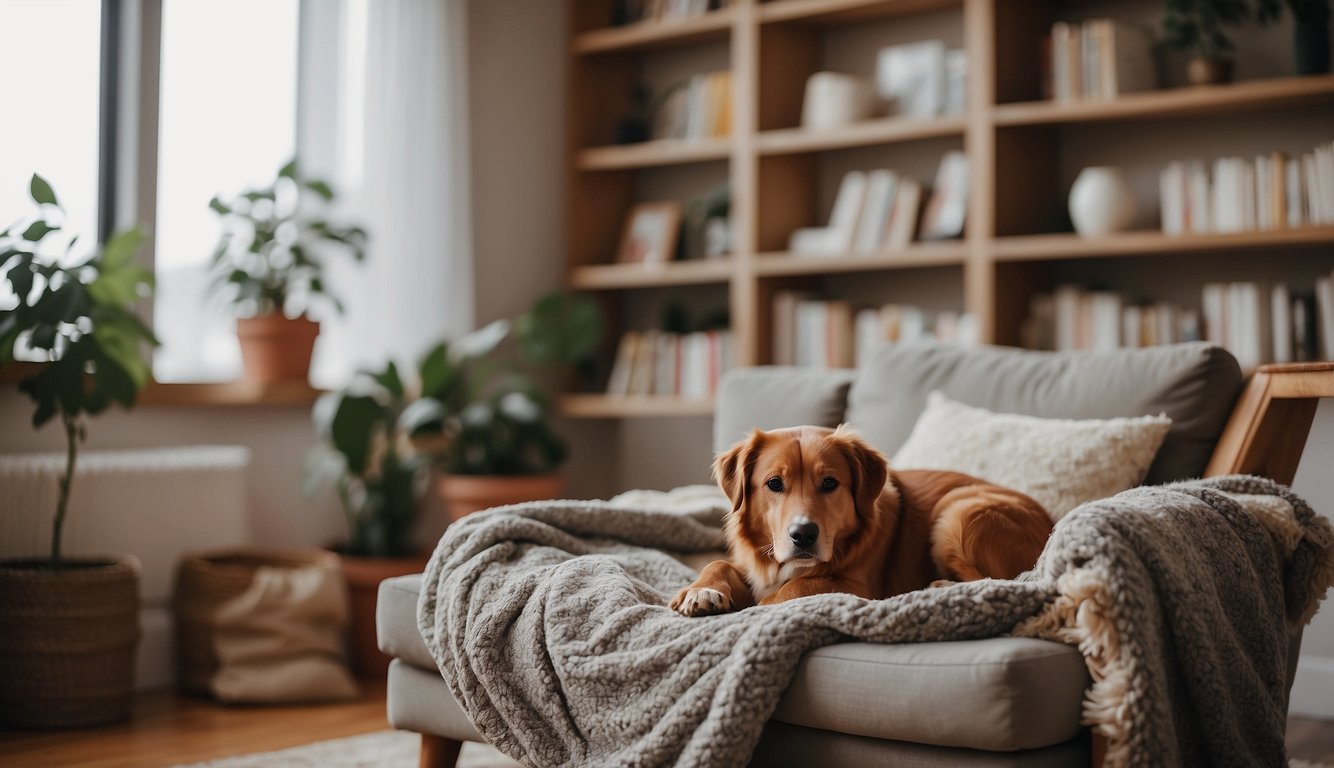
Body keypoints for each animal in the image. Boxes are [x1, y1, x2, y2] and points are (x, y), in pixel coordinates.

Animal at [672, 424, 1056, 616]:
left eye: (829, 483)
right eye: (774, 483)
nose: (803, 535)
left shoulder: (857, 587)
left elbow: (801, 586)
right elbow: (719, 564)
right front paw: (702, 591)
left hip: (959, 513)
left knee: (999, 581)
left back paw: (941, 587)